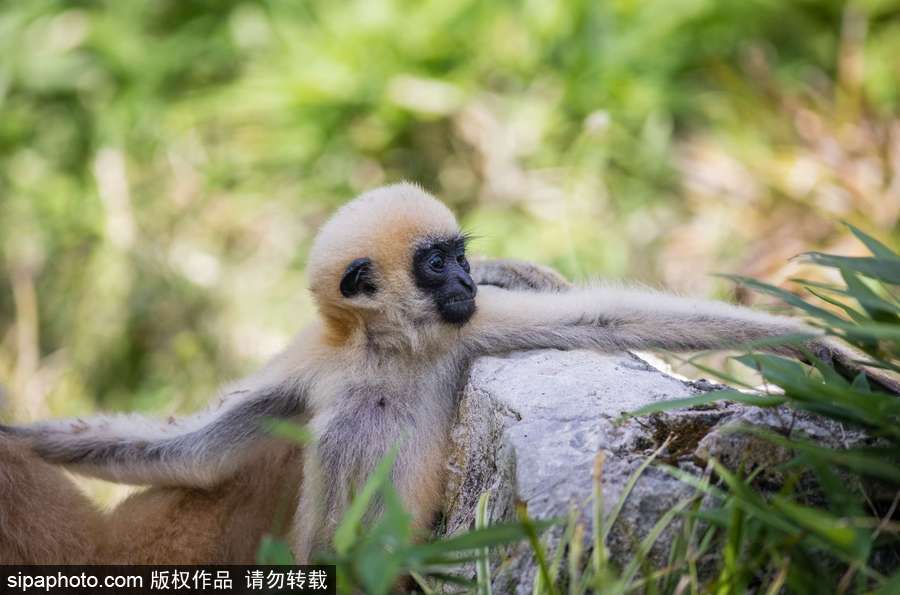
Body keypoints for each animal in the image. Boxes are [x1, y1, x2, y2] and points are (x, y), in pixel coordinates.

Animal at [0, 182, 880, 563]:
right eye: (436, 261)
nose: (462, 278)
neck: (384, 352)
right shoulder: (316, 360)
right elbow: (194, 450)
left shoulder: (467, 332)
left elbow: (608, 320)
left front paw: (823, 349)